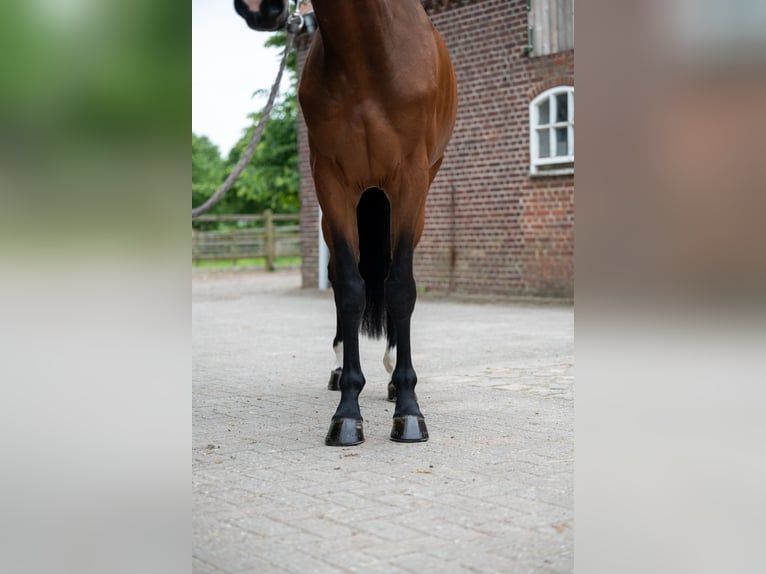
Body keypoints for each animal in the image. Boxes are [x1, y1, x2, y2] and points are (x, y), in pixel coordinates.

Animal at [234, 0, 460, 448]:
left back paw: (391, 375)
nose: (257, 9)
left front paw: (409, 411)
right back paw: (341, 371)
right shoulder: (331, 183)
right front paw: (347, 415)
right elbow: (351, 291)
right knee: (341, 276)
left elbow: (400, 288)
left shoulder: (410, 182)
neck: (369, 52)